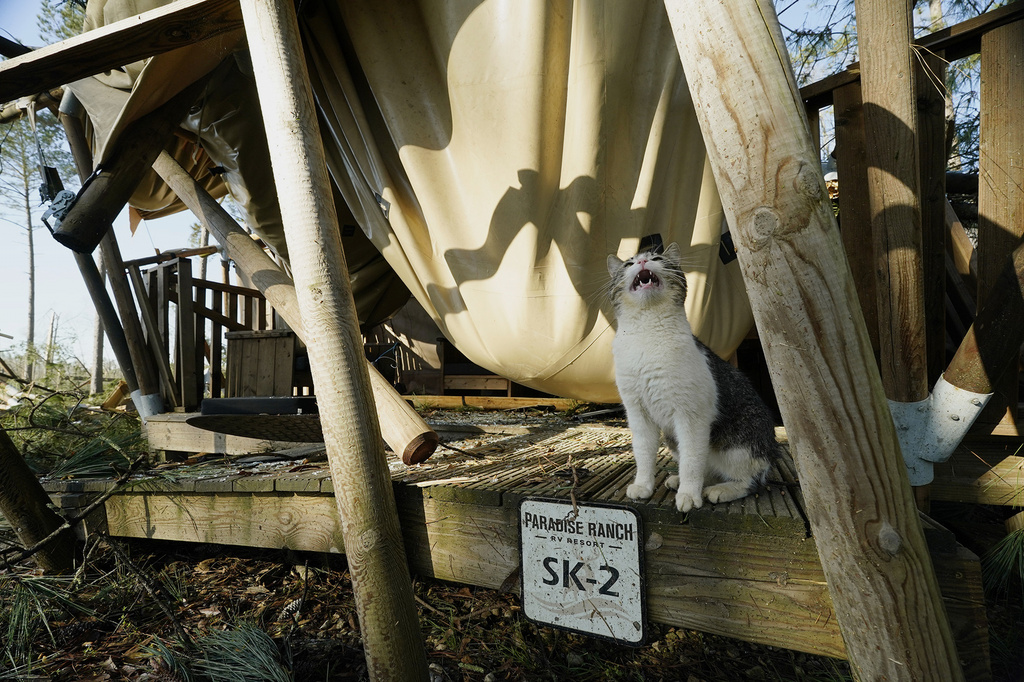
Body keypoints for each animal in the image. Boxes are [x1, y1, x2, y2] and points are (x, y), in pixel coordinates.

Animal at [606, 242, 774, 509]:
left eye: (657, 258)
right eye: (629, 263)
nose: (642, 262)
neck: (646, 334)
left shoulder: (691, 415)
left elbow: (691, 461)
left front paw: (688, 495)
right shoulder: (638, 413)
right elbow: (643, 453)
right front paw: (643, 486)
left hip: (739, 447)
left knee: (751, 480)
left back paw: (720, 490)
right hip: (673, 439)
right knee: (707, 469)